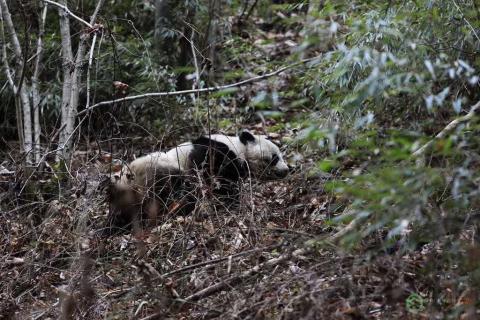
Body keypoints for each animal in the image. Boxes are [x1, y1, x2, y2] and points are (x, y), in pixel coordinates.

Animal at [107, 131, 288, 234]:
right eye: (275, 158)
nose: (287, 169)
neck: (239, 148)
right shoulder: (214, 151)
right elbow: (213, 171)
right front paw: (230, 196)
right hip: (158, 172)